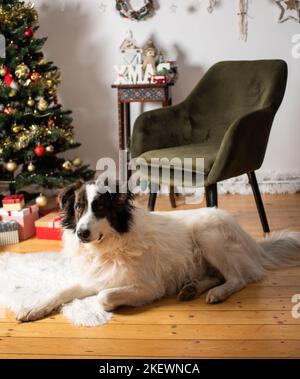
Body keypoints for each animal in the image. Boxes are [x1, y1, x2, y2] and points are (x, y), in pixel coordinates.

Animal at [16, 180, 300, 322]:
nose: (81, 233)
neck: (109, 245)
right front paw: (34, 308)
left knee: (239, 277)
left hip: (207, 233)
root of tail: (249, 239)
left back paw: (217, 292)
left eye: (100, 208)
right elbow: (62, 290)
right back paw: (192, 288)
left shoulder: (150, 287)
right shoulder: (96, 276)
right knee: (218, 274)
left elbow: (104, 297)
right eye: (78, 208)